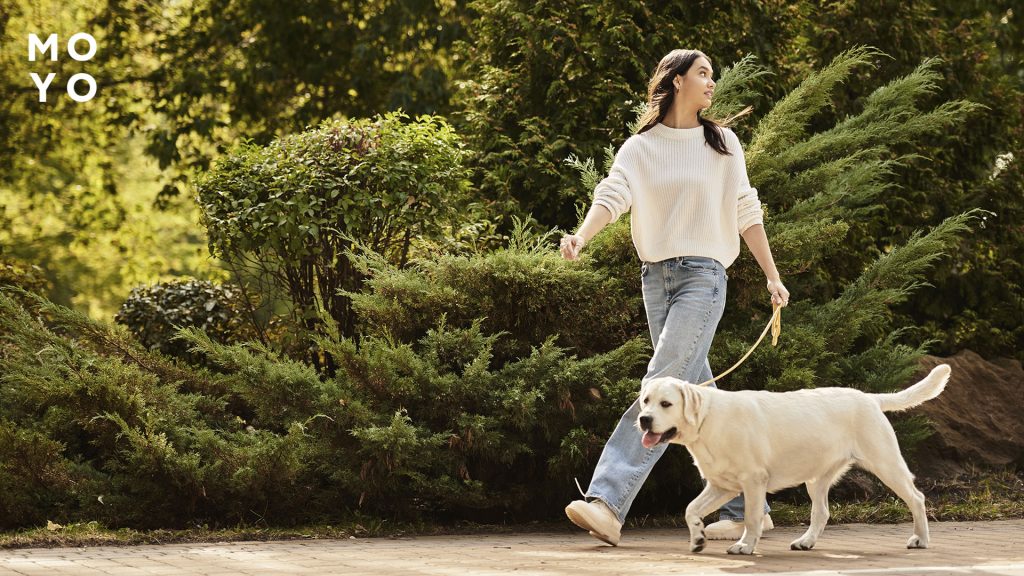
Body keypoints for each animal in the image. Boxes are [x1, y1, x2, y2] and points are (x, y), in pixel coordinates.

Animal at [638, 360, 950, 553]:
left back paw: (920, 539)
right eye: (645, 401)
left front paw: (745, 546)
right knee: (821, 512)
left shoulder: (753, 481)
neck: (706, 420)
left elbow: (751, 518)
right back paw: (805, 541)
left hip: (886, 463)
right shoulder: (722, 486)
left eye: (666, 404)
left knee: (916, 498)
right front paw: (698, 539)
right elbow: (690, 509)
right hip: (817, 478)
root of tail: (870, 398)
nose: (643, 419)